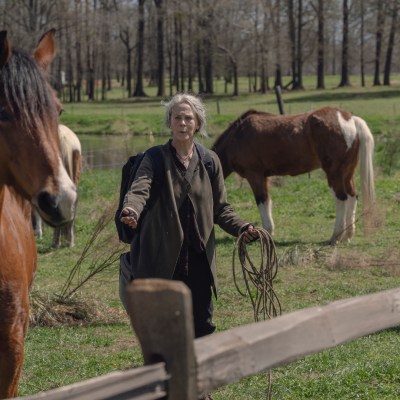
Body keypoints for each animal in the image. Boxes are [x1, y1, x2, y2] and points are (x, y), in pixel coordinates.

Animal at [211, 108, 376, 244]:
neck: (238, 135)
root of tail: (349, 118)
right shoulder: (264, 177)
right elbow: (267, 202)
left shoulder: (255, 175)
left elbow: (262, 201)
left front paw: (267, 232)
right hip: (347, 173)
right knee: (352, 196)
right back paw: (347, 235)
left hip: (334, 174)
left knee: (341, 198)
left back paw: (335, 237)